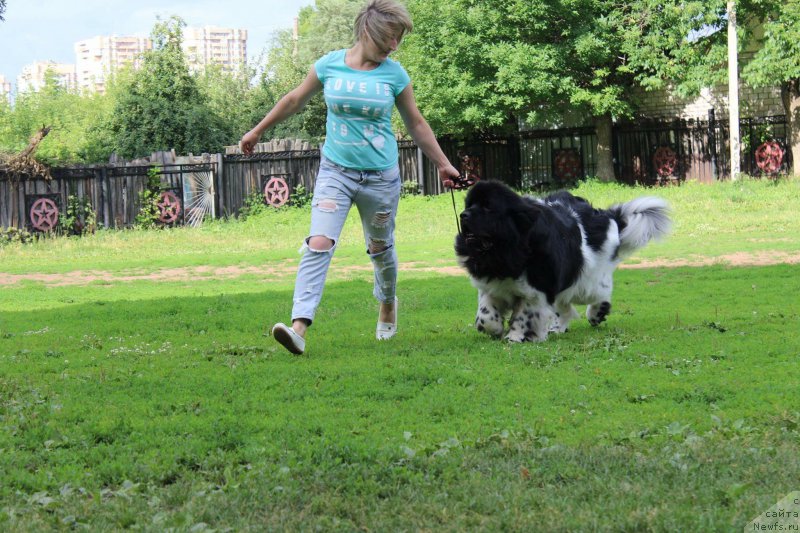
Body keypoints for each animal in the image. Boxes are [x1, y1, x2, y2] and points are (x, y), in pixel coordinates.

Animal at [454, 181, 672, 342]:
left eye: (488, 207)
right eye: (469, 205)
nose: (463, 215)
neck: (505, 249)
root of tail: (605, 214)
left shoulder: (536, 290)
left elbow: (526, 315)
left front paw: (517, 337)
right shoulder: (493, 284)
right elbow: (485, 314)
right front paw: (495, 329)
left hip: (585, 279)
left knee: (601, 292)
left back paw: (597, 313)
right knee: (564, 307)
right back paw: (557, 328)